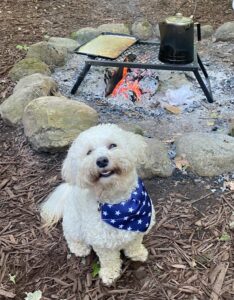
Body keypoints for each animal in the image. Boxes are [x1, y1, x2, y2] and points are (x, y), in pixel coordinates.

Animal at [40, 123, 155, 284]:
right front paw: (110, 274)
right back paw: (79, 248)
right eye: (89, 152)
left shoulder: (139, 228)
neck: (117, 203)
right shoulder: (102, 242)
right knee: (71, 237)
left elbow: (134, 244)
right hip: (74, 225)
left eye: (112, 145)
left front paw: (138, 253)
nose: (101, 161)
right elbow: (109, 260)